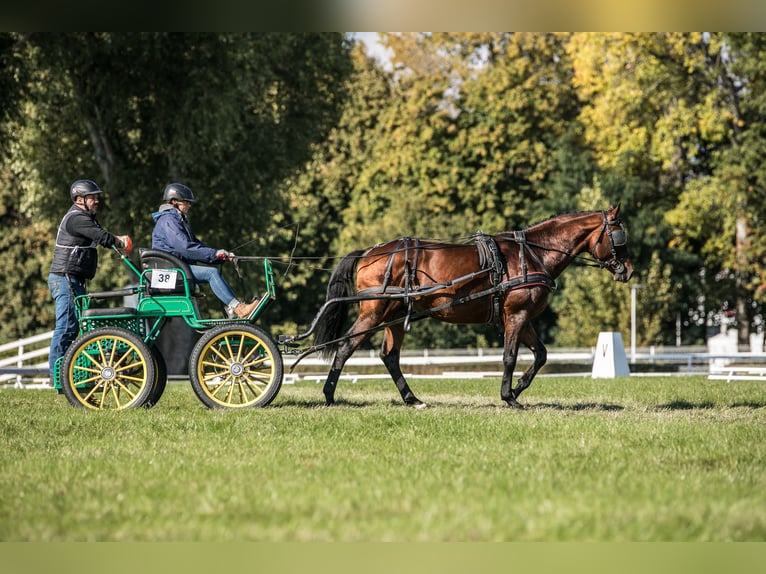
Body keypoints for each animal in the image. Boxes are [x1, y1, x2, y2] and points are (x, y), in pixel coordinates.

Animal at [302, 205, 634, 409]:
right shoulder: (516, 316)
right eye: (619, 236)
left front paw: (517, 388)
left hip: (394, 315)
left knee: (390, 356)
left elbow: (541, 355)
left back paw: (412, 399)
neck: (532, 254)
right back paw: (329, 395)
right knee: (346, 348)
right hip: (374, 312)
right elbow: (510, 357)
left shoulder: (521, 318)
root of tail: (370, 252)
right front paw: (509, 396)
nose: (628, 270)